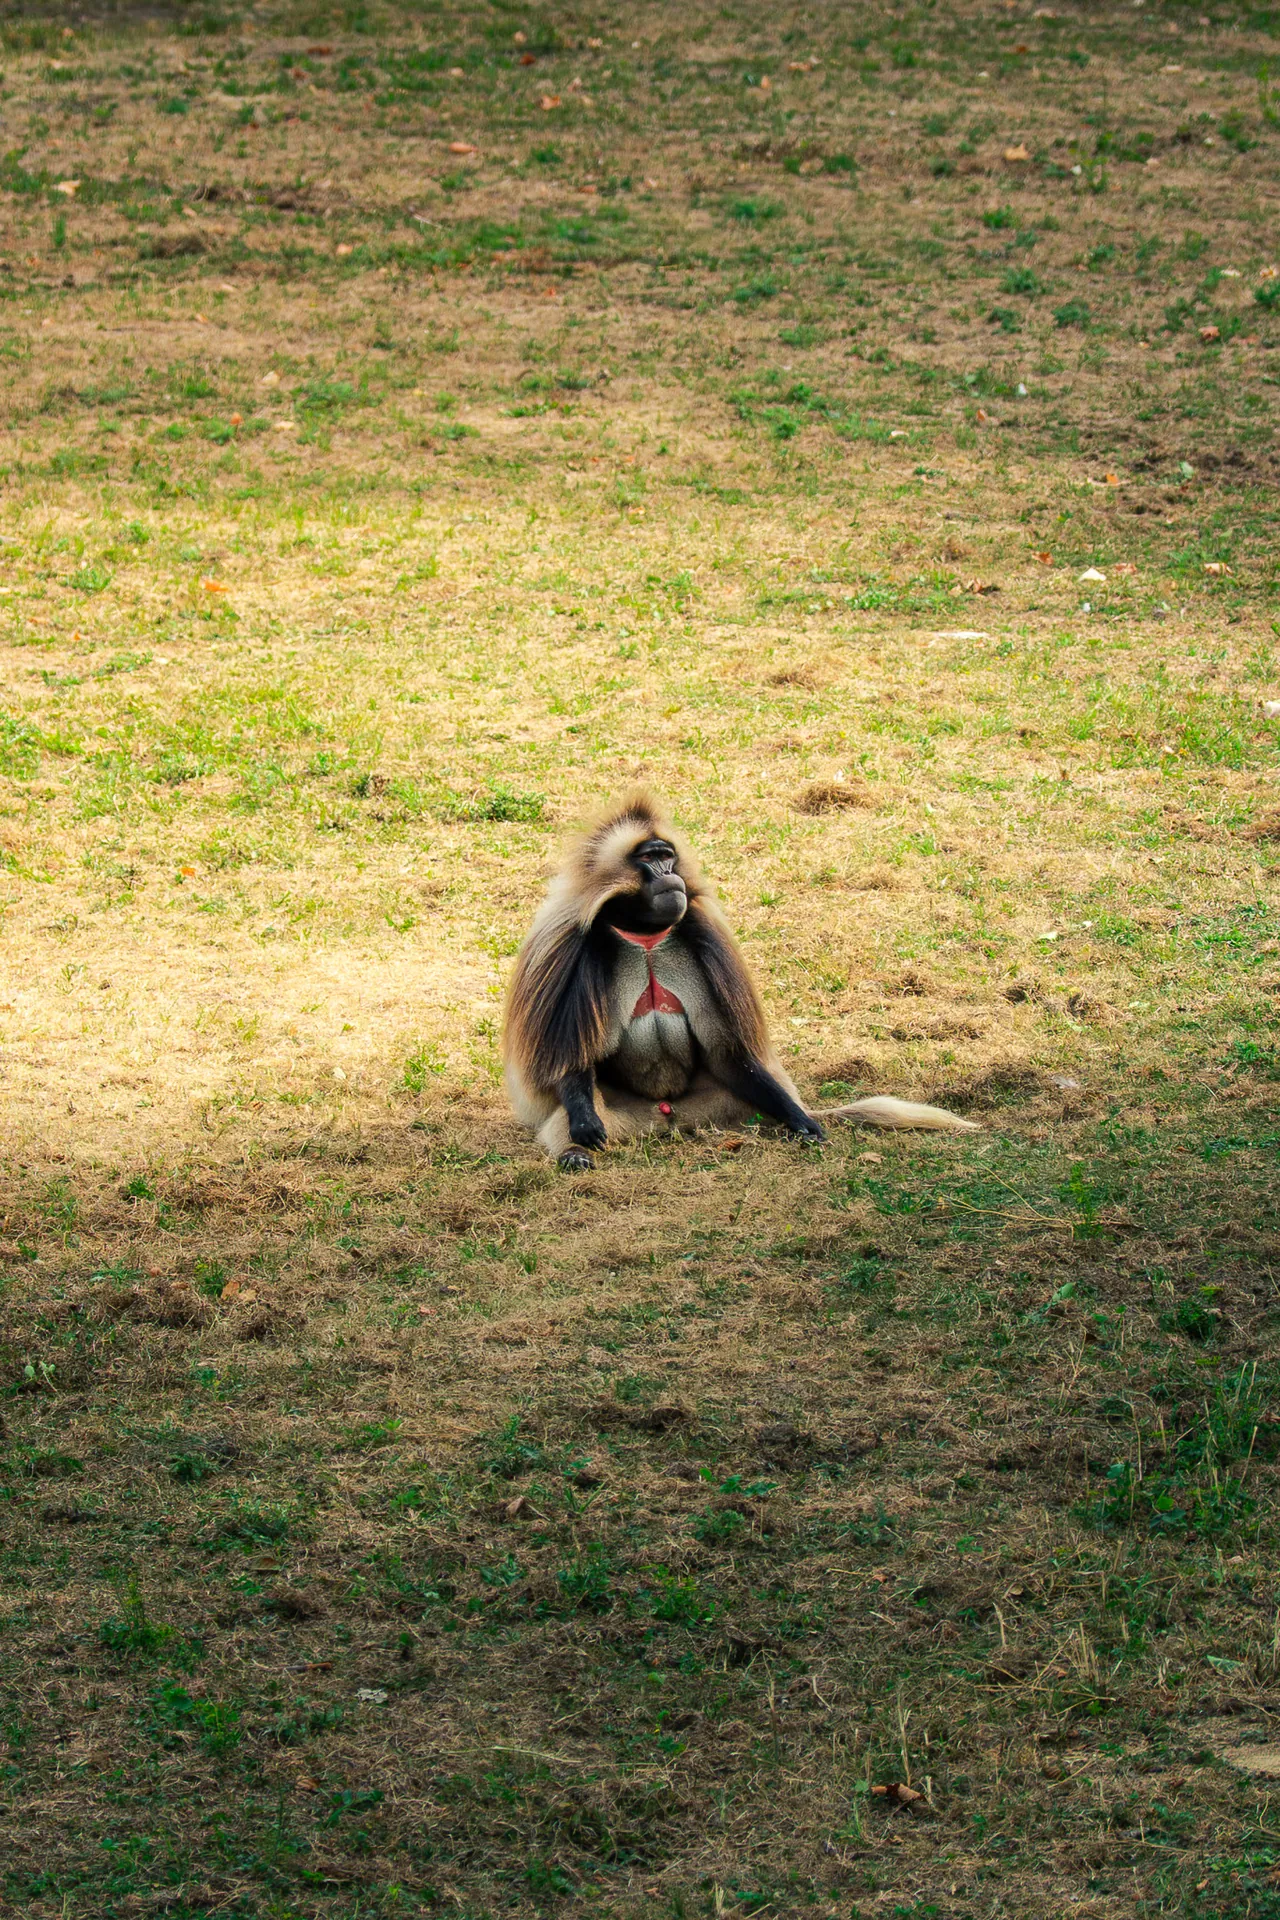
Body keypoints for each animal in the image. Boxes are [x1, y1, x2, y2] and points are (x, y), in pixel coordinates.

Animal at [502, 792, 978, 1169]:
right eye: (648, 859)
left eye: (666, 856)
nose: (669, 875)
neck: (644, 934)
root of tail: (667, 1121)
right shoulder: (570, 948)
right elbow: (570, 1060)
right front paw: (581, 1126)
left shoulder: (706, 938)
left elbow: (729, 1051)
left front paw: (801, 1120)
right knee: (570, 1118)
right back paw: (575, 1153)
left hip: (717, 1106)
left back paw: (792, 1121)